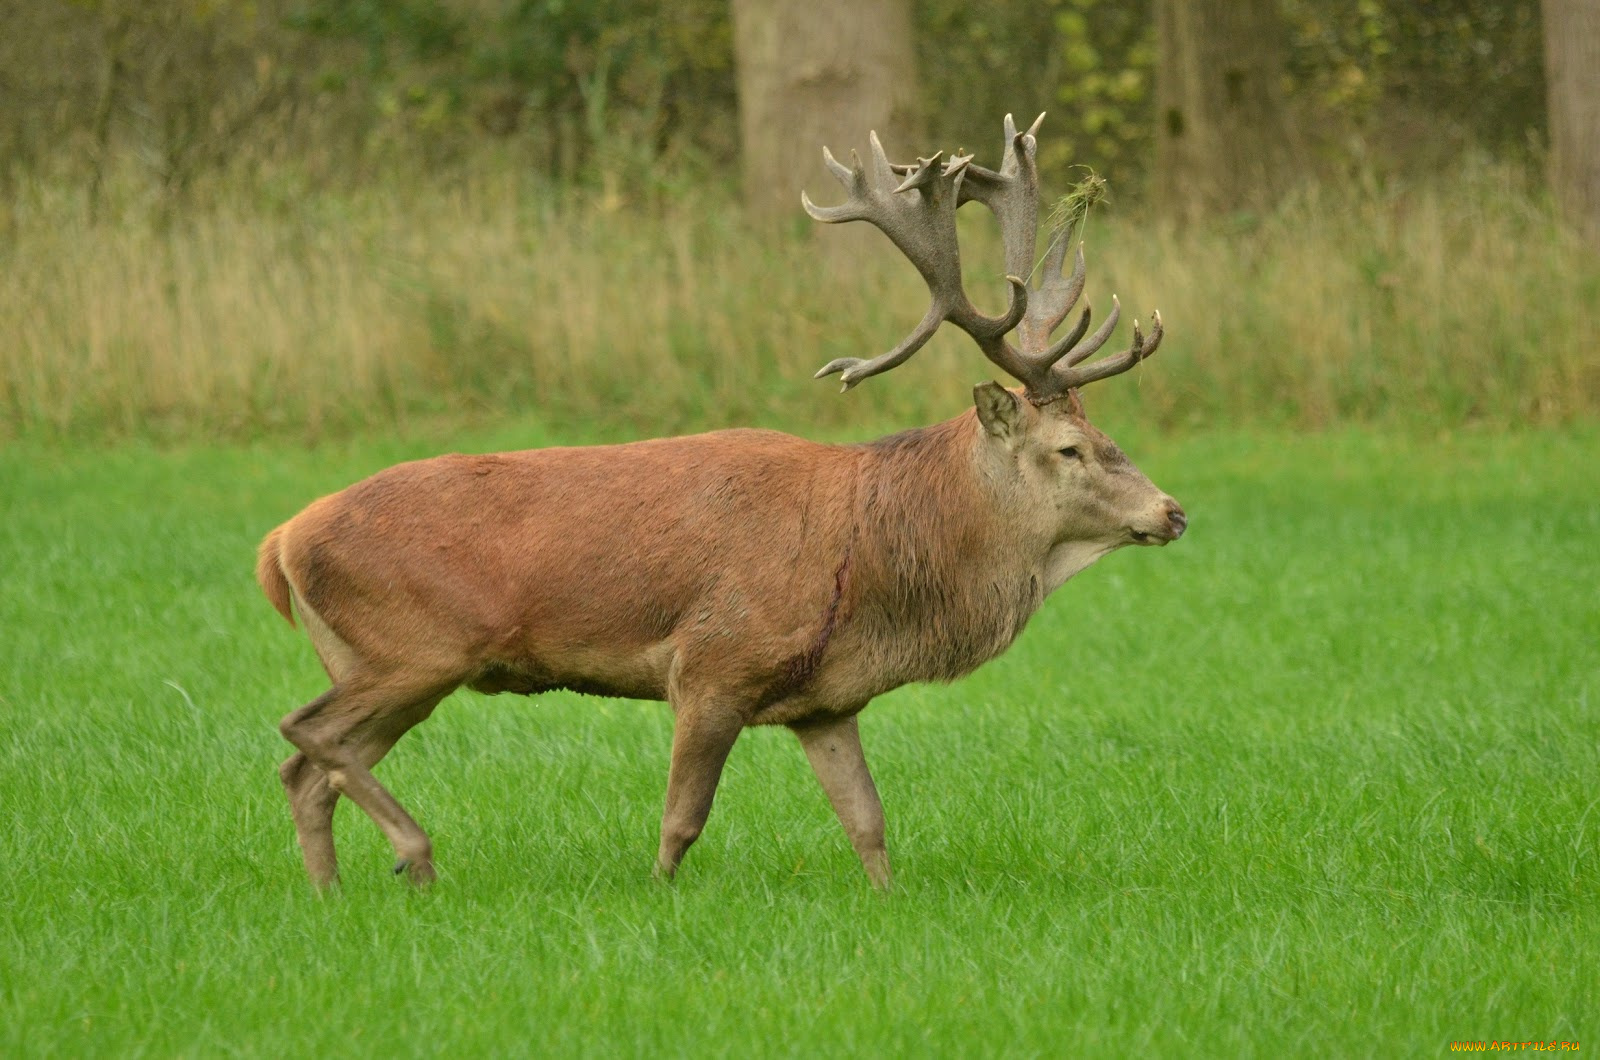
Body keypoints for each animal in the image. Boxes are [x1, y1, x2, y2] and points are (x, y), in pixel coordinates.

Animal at [256, 116, 1190, 890]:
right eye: (1068, 449)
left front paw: (887, 903)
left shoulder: (826, 701)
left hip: (381, 661)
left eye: (1107, 433)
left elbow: (869, 823)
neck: (873, 565)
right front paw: (660, 899)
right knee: (305, 733)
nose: (1172, 511)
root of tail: (280, 542)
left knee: (310, 769)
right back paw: (415, 856)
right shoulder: (713, 662)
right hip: (415, 644)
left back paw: (333, 893)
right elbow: (682, 820)